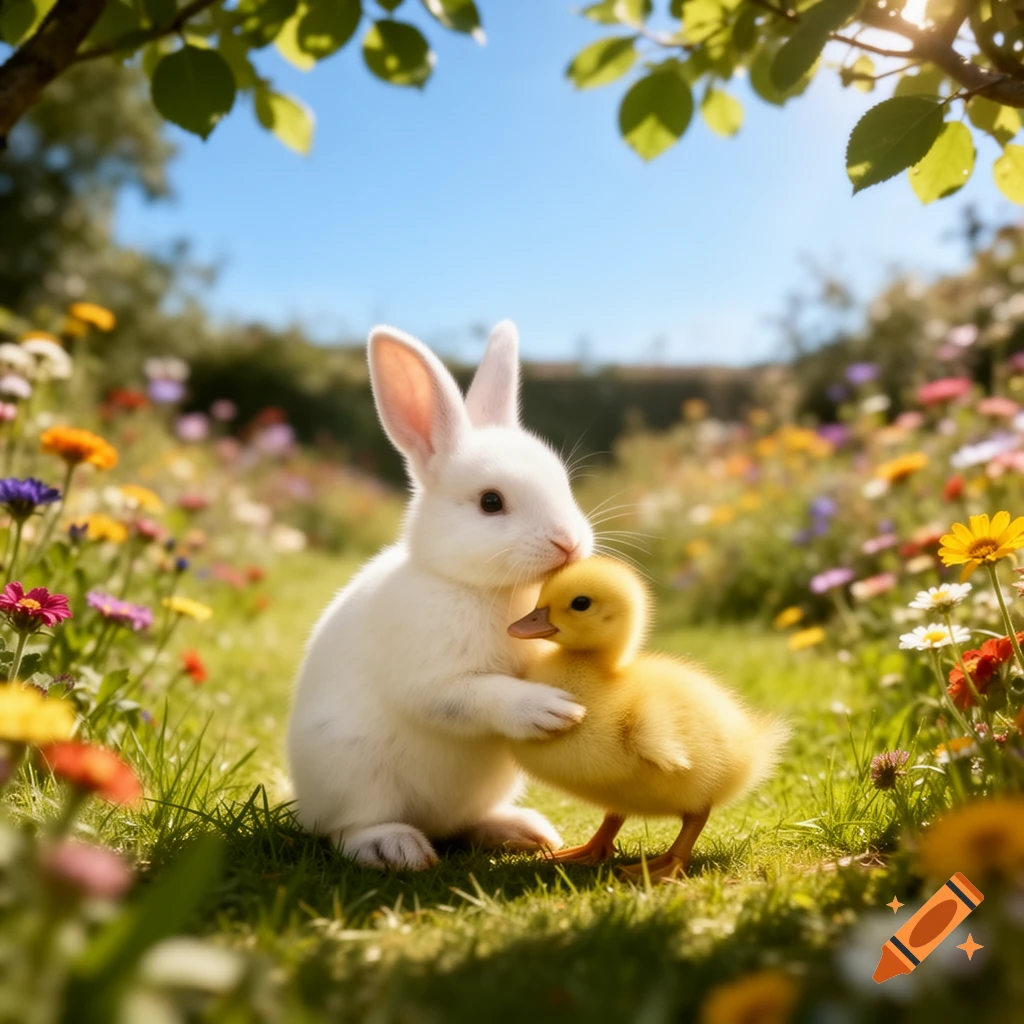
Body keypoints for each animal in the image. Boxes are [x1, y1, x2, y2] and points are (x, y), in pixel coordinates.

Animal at [287, 320, 595, 870]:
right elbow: (476, 696)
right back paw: (396, 848)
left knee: (467, 825)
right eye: (491, 502)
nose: (570, 542)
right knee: (348, 830)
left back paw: (524, 831)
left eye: (563, 484)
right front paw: (550, 710)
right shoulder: (432, 679)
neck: (480, 588)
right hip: (353, 774)